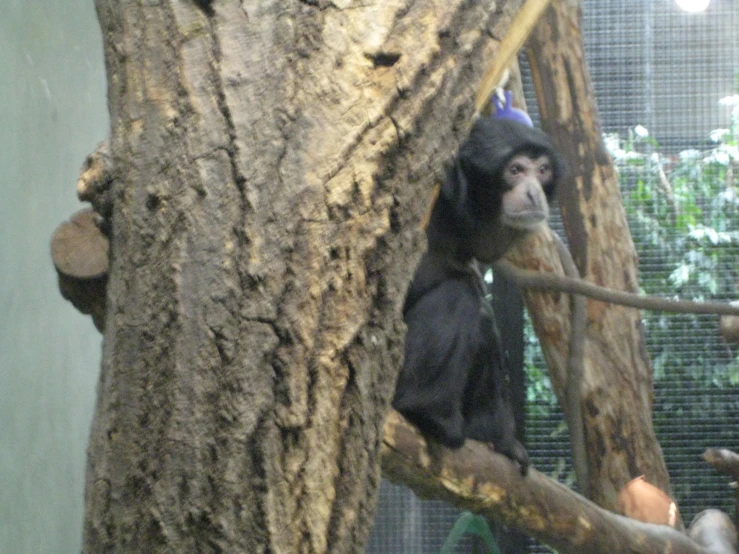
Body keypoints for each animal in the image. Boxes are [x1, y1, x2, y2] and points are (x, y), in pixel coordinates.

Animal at [394, 114, 568, 472]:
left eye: (542, 170)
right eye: (515, 170)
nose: (533, 193)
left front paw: (501, 438)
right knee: (459, 298)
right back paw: (430, 414)